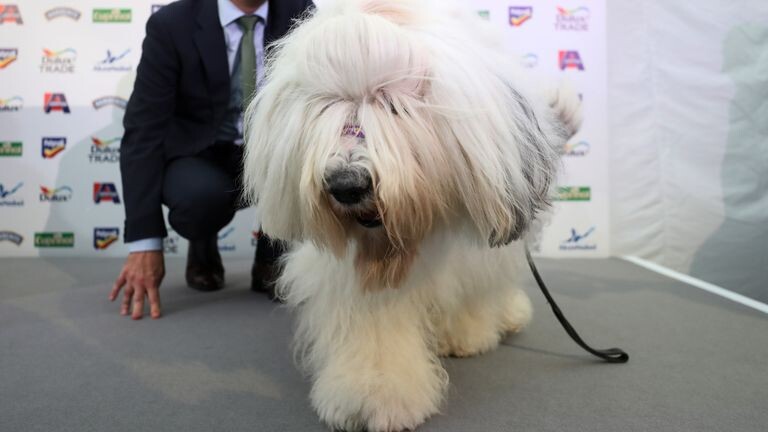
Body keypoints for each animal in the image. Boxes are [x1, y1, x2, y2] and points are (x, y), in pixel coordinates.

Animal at [246, 0, 584, 428]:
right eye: (328, 109)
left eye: (393, 106)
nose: (346, 185)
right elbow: (375, 321)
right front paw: (372, 395)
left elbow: (474, 286)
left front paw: (467, 335)